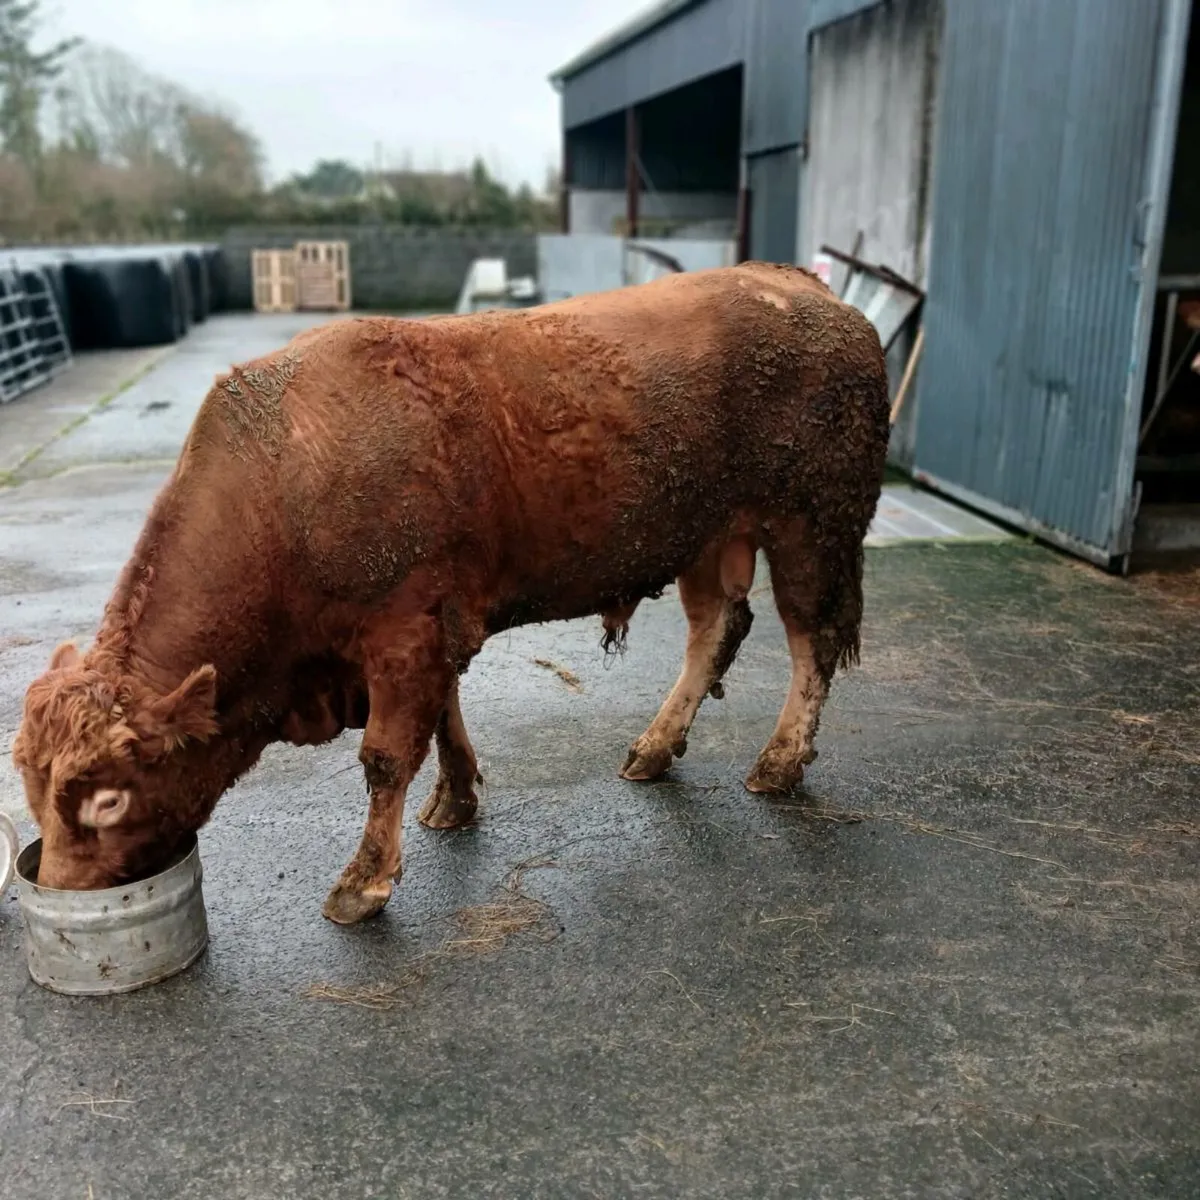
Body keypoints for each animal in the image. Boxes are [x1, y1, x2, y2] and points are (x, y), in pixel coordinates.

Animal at [13, 262, 890, 925]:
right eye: (31, 786)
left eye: (107, 802)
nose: (55, 887)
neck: (282, 485)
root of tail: (812, 291)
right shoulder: (434, 626)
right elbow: (442, 720)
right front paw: (456, 799)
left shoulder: (405, 629)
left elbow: (385, 754)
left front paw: (363, 881)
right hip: (705, 536)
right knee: (717, 628)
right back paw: (652, 748)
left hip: (814, 526)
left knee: (811, 639)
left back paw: (779, 762)